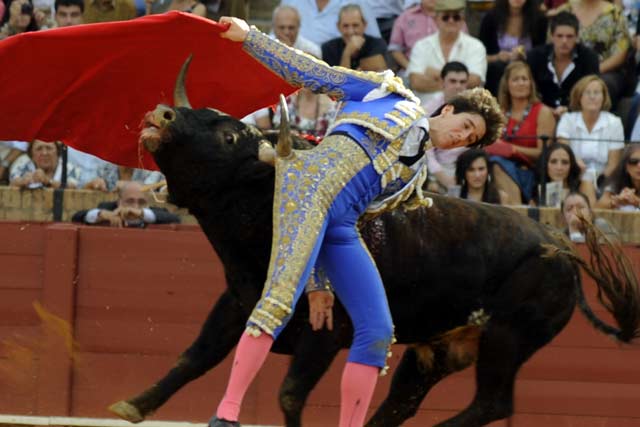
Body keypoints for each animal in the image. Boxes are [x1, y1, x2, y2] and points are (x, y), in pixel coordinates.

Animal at [110, 94, 640, 427]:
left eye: (228, 139)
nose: (162, 114)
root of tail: (563, 247)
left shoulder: (331, 331)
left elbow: (288, 391)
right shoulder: (237, 301)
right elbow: (195, 356)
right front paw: (132, 405)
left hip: (507, 339)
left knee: (493, 403)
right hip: (439, 348)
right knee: (403, 403)